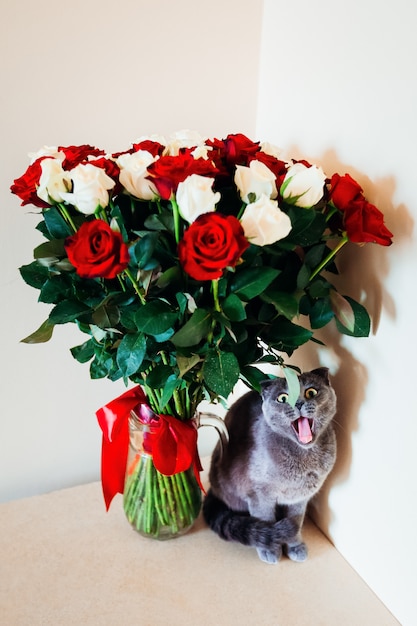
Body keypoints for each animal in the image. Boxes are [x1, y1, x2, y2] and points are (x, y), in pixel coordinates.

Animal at [203, 364, 336, 564]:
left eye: (311, 392)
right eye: (282, 398)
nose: (298, 403)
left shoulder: (300, 497)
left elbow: (296, 522)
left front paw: (295, 547)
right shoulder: (259, 495)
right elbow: (266, 520)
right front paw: (270, 550)